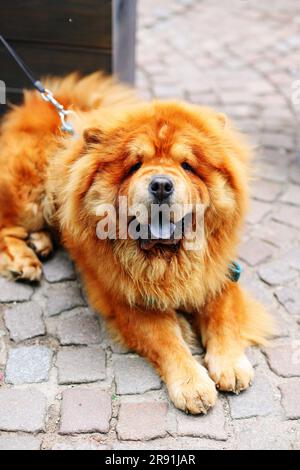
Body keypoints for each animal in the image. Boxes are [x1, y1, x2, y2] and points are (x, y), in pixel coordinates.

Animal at [0, 73, 274, 414]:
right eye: (135, 165)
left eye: (187, 165)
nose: (161, 184)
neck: (167, 257)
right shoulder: (129, 302)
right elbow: (167, 340)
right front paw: (193, 385)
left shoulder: (220, 274)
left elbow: (224, 317)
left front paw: (231, 365)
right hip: (30, 193)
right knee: (6, 225)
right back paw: (23, 260)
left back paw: (41, 242)